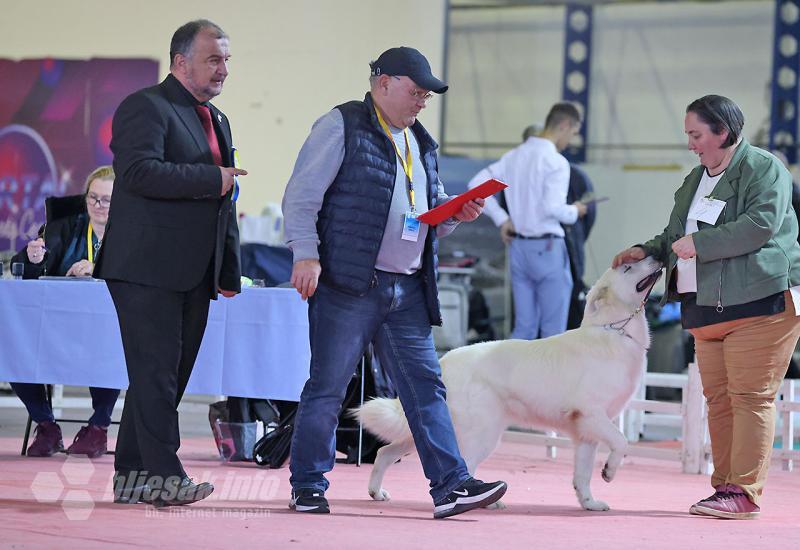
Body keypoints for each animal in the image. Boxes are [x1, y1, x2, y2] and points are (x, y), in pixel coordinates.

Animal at [356, 258, 664, 512]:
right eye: (628, 268)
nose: (654, 254)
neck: (614, 330)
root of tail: (444, 362)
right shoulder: (593, 415)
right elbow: (622, 442)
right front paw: (609, 472)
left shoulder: (586, 430)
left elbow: (583, 474)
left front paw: (589, 503)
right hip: (482, 431)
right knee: (465, 462)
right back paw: (484, 500)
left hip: (434, 428)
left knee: (386, 452)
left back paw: (376, 492)